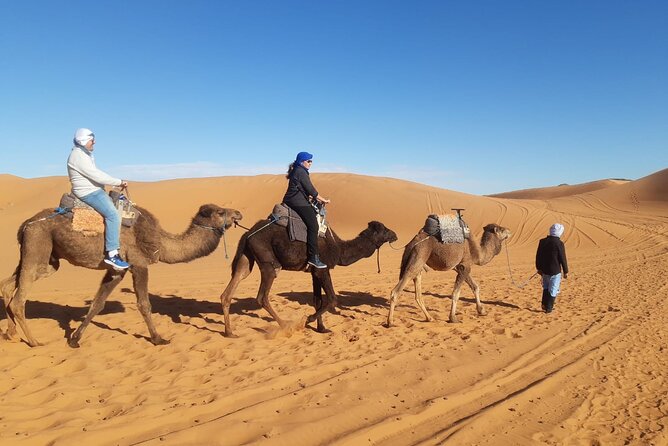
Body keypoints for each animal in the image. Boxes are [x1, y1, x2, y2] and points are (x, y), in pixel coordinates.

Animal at [1, 204, 243, 346]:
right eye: (221, 212)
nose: (239, 213)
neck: (160, 242)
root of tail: (25, 224)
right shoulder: (139, 263)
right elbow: (144, 304)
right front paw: (158, 338)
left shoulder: (117, 269)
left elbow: (97, 303)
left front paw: (75, 338)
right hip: (38, 245)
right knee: (19, 298)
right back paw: (34, 341)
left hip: (46, 257)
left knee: (8, 285)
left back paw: (10, 334)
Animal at [219, 220, 396, 334]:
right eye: (384, 230)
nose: (395, 234)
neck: (339, 249)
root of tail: (248, 233)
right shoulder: (322, 269)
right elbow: (332, 299)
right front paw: (309, 319)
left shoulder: (314, 271)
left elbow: (317, 300)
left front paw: (322, 328)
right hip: (268, 263)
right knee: (262, 296)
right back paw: (286, 325)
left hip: (246, 258)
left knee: (233, 284)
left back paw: (229, 332)